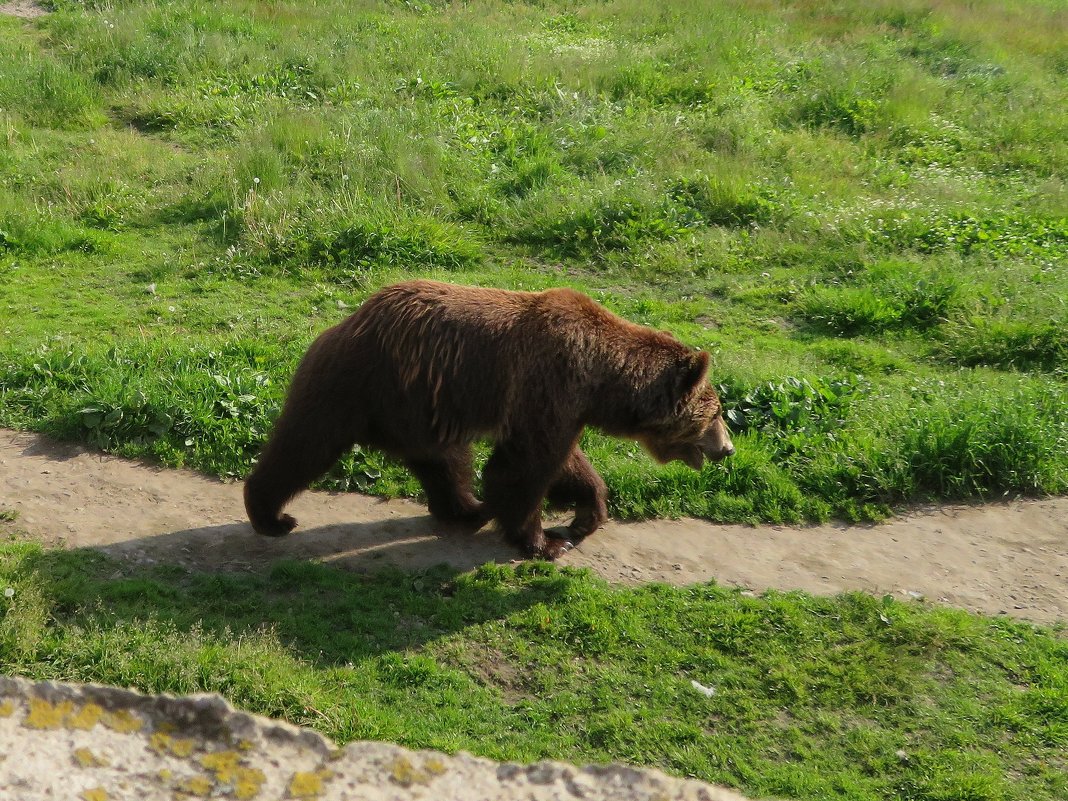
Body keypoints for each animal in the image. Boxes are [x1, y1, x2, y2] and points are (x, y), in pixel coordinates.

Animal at [244, 279, 734, 559]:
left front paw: (585, 515)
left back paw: (468, 509)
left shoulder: (561, 406)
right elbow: (524, 466)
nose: (727, 448)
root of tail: (344, 321)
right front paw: (544, 541)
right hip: (357, 384)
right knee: (304, 444)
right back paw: (271, 516)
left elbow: (564, 460)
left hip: (422, 409)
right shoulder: (547, 382)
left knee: (444, 462)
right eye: (715, 413)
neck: (601, 380)